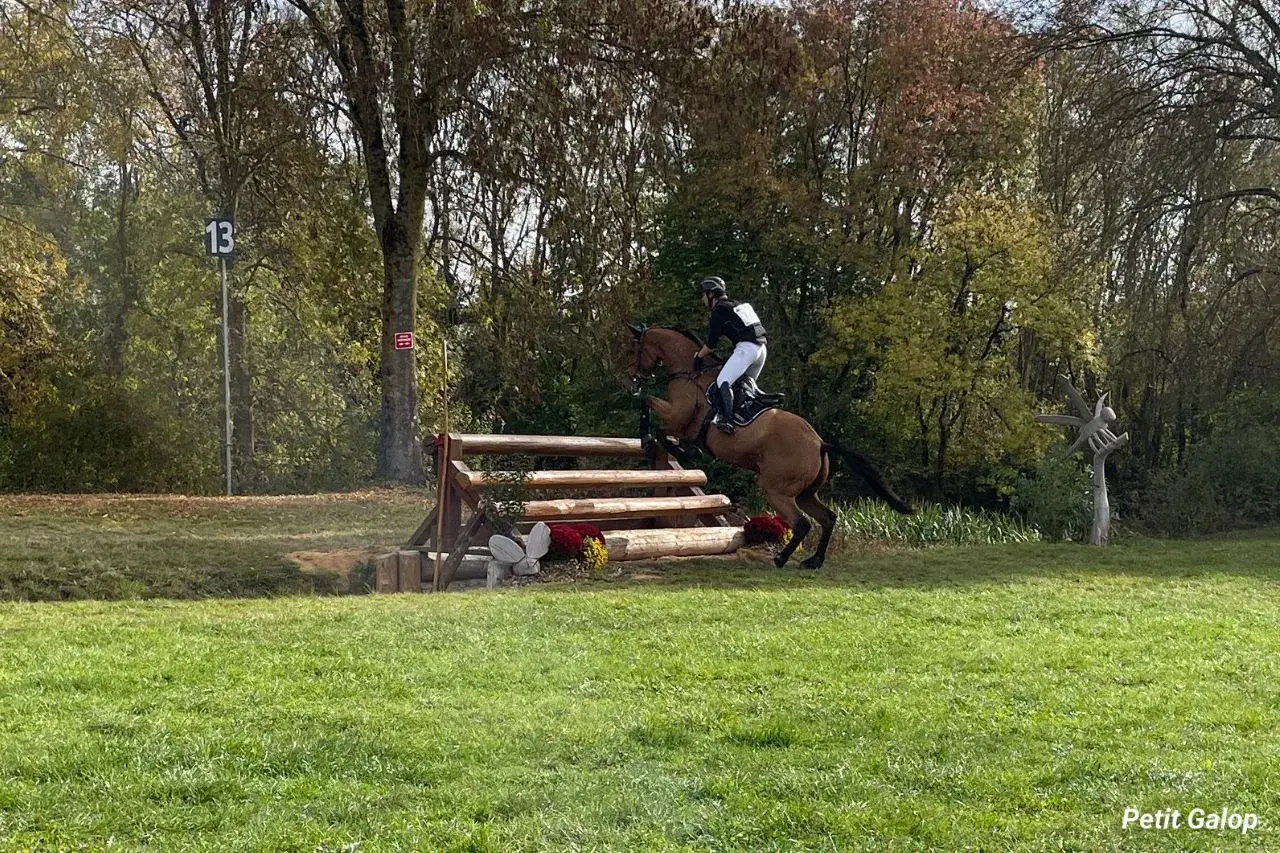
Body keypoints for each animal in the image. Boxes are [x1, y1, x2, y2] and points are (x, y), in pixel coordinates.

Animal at [626, 324, 913, 569]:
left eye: (633, 349)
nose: (632, 379)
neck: (689, 371)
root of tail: (820, 443)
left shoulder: (679, 417)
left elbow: (649, 407)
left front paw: (652, 440)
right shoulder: (684, 426)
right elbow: (658, 418)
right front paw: (679, 448)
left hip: (776, 489)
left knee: (802, 523)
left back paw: (781, 558)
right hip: (806, 493)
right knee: (828, 518)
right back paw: (814, 561)